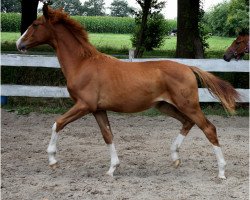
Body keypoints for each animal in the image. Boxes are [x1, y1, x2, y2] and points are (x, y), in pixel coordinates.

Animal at [16, 5, 239, 180]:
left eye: (35, 24)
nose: (19, 44)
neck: (83, 64)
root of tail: (188, 67)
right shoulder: (97, 109)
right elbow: (107, 135)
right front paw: (112, 169)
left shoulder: (84, 105)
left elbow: (58, 123)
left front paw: (53, 160)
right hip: (165, 106)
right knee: (188, 123)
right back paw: (175, 158)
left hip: (188, 105)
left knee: (209, 128)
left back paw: (221, 171)